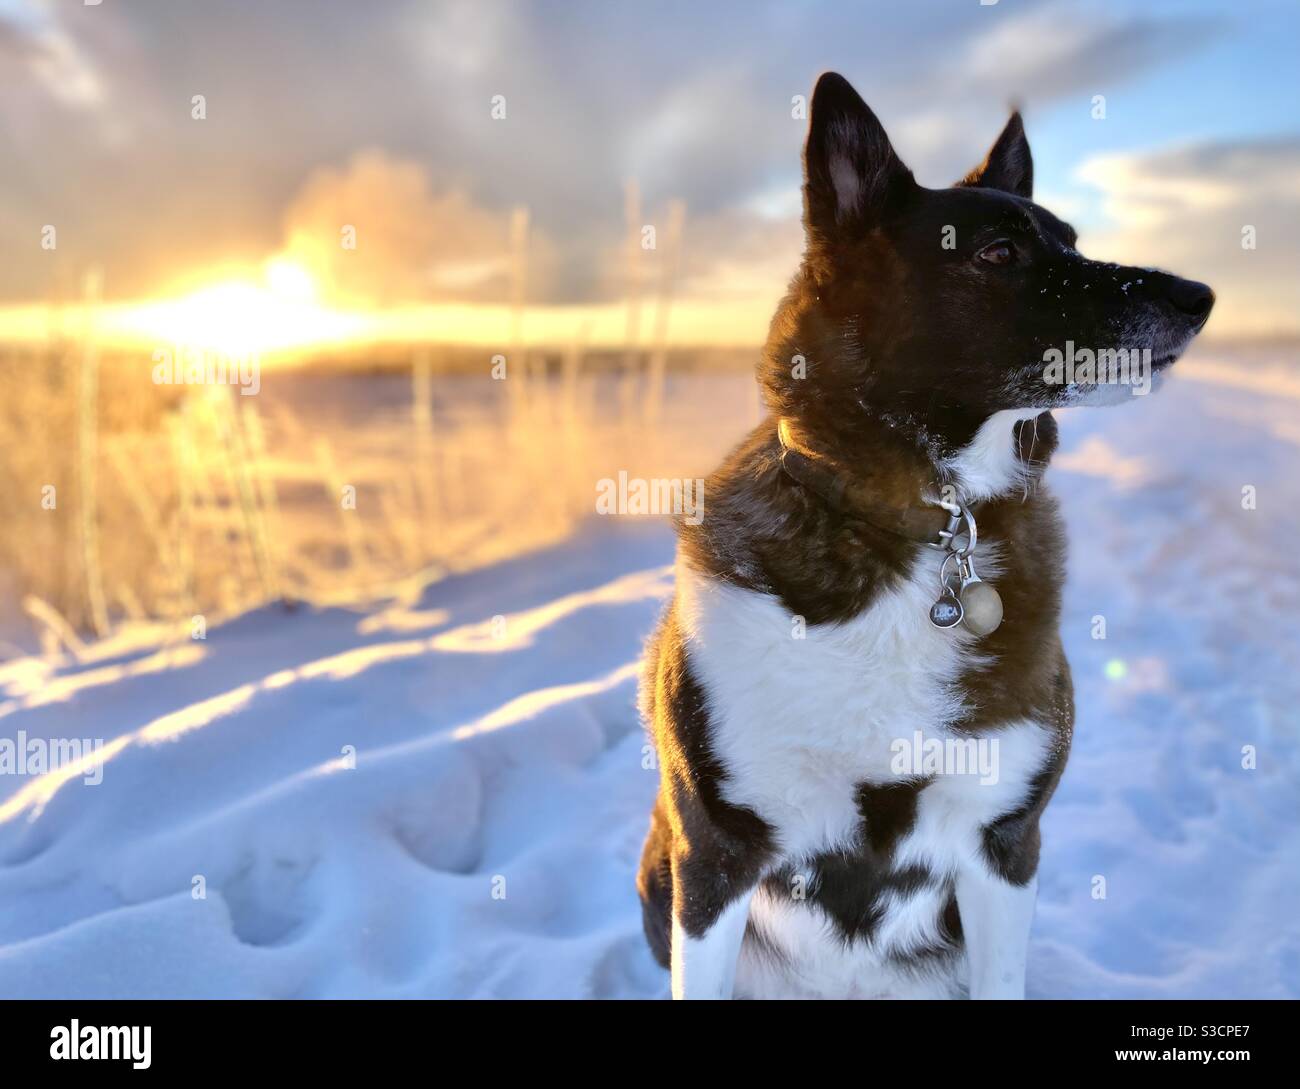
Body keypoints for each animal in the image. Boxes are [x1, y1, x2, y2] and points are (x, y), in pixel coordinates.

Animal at [634, 72, 1211, 1003]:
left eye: (1072, 241)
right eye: (999, 254)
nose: (1200, 298)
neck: (924, 523)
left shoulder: (1002, 845)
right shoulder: (714, 856)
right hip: (660, 876)